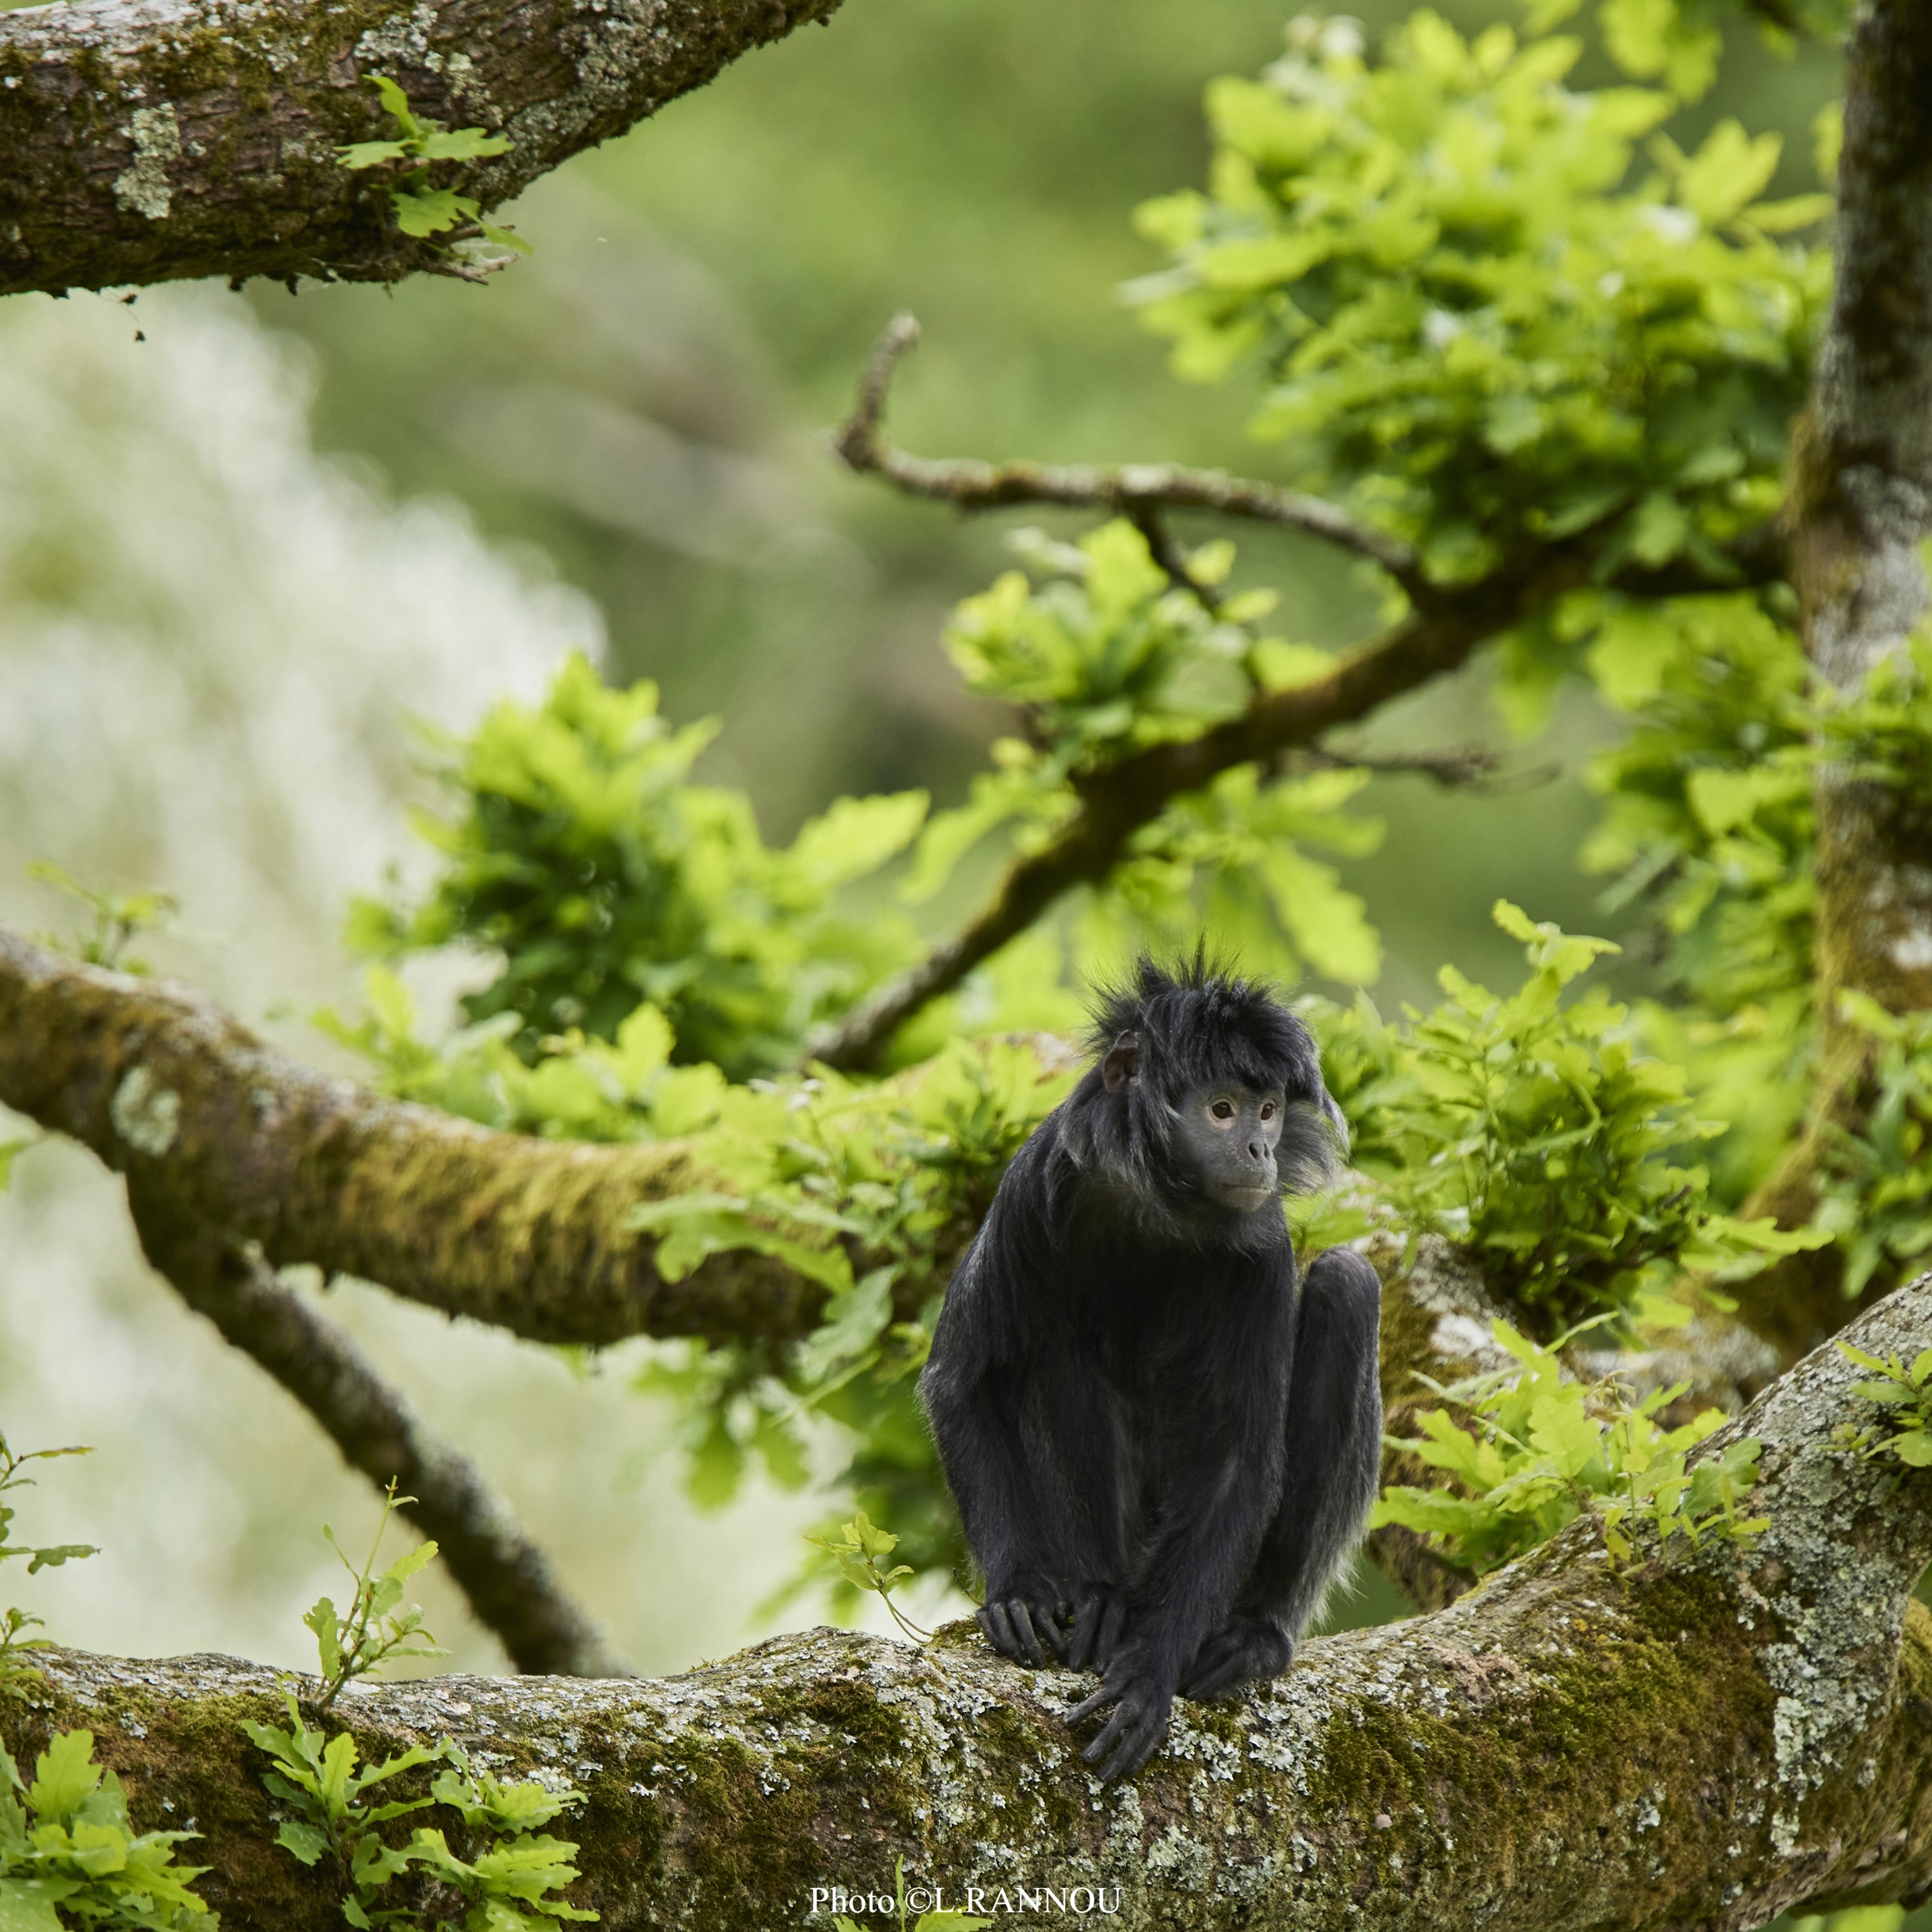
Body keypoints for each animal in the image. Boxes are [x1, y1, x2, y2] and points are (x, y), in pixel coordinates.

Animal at [916, 951, 1383, 1777]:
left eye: (1268, 1111)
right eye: (1223, 1110)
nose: (1261, 1151)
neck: (1161, 1212)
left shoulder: (1262, 1243)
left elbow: (1238, 1463)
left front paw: (1150, 1671)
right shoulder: (1033, 1183)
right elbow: (963, 1381)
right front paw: (1018, 1590)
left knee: (1347, 1286)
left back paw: (1253, 1634)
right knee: (1052, 1340)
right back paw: (1101, 1599)